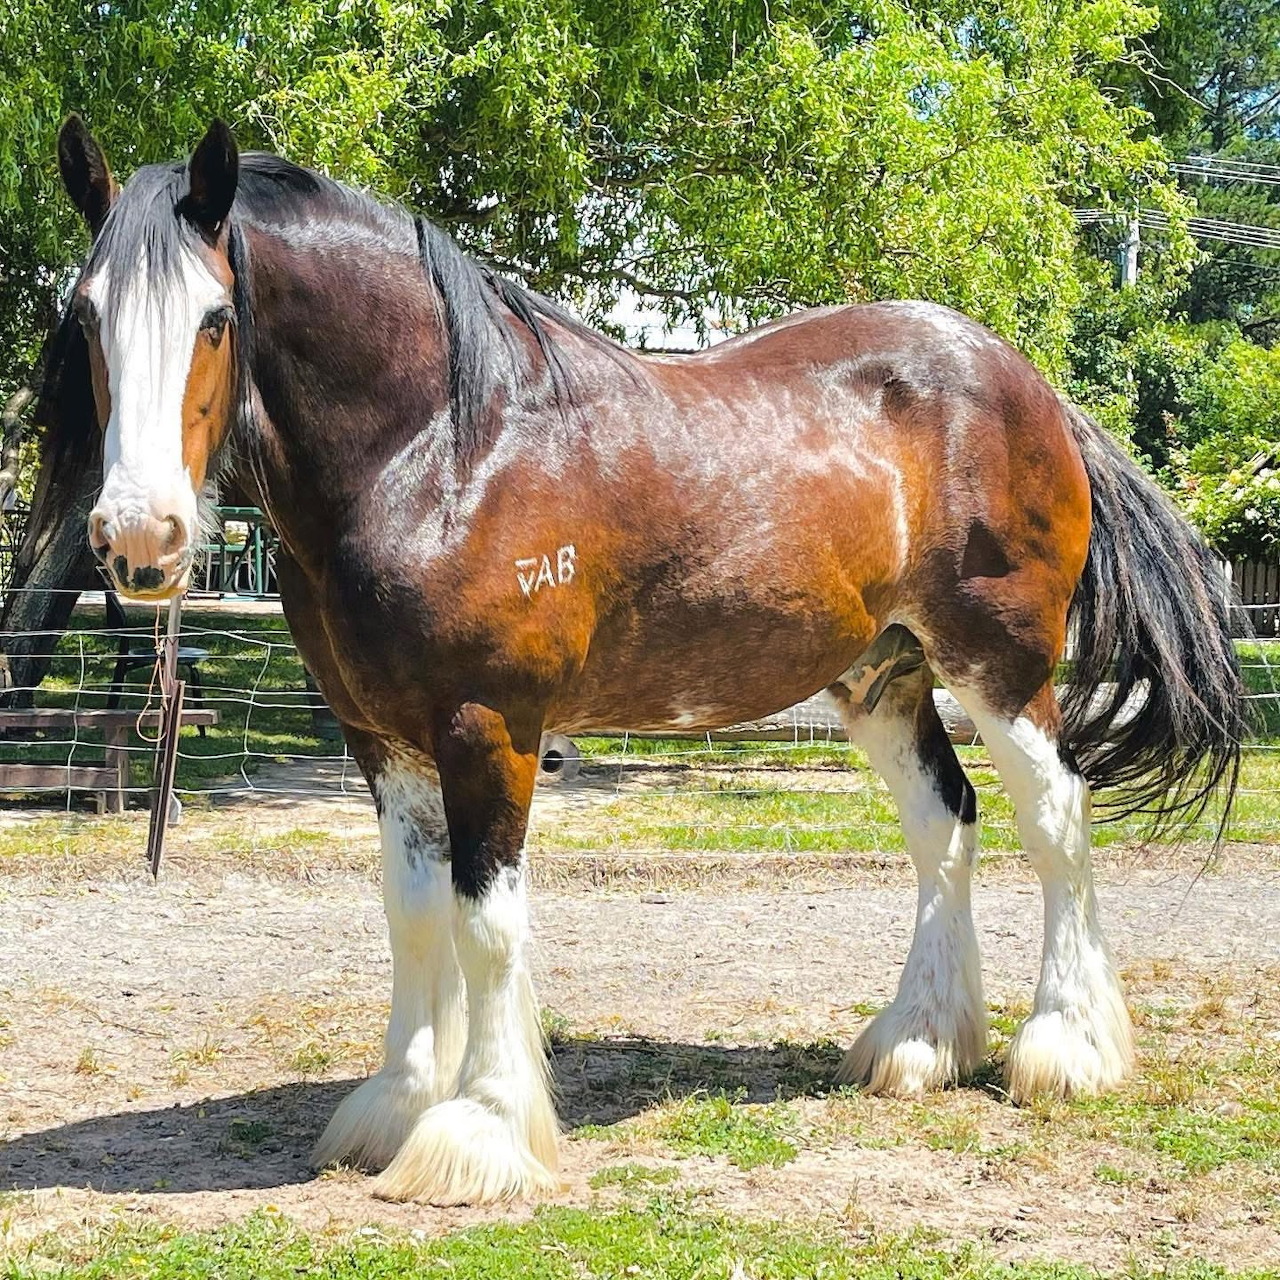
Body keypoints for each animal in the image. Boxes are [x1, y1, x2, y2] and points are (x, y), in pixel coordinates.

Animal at [44, 116, 1244, 1206]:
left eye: (215, 319)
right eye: (87, 316)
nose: (141, 538)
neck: (441, 452)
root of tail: (1025, 383)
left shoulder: (490, 727)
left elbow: (486, 921)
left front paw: (478, 1134)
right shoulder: (381, 739)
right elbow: (413, 910)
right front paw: (395, 1103)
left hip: (1001, 663)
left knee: (1055, 822)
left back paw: (1065, 1049)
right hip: (882, 677)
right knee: (942, 824)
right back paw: (917, 1044)